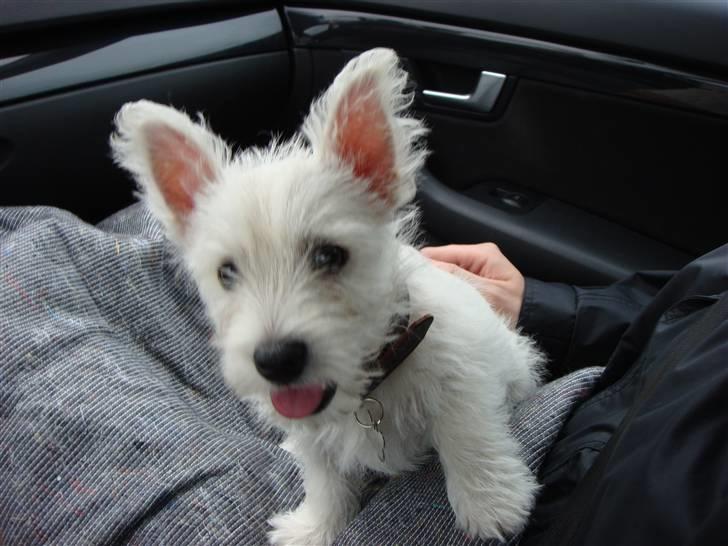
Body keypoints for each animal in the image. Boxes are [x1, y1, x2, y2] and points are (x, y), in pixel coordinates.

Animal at [111, 49, 544, 540]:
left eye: (330, 255)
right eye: (226, 272)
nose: (276, 361)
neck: (371, 383)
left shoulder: (463, 371)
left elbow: (466, 432)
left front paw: (489, 504)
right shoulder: (313, 436)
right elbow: (323, 478)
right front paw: (314, 528)